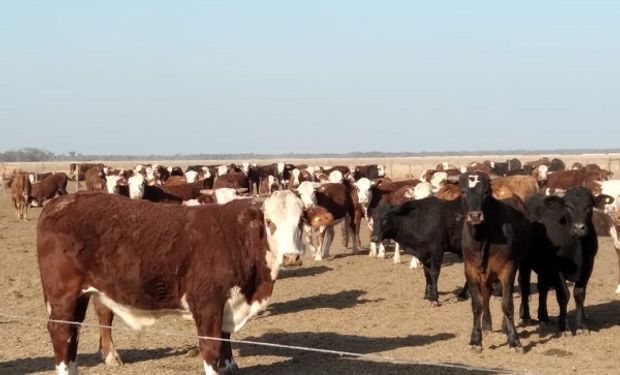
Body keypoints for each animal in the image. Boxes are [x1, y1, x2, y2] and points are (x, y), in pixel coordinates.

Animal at [36, 192, 312, 375]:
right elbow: (211, 347)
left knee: (73, 334)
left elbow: (225, 342)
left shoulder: (227, 304)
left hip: (80, 295)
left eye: (300, 221)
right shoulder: (207, 302)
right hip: (64, 293)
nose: (292, 256)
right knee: (62, 332)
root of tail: (59, 203)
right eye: (269, 222)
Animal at [458, 173, 532, 352]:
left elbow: (507, 305)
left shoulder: (508, 268)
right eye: (463, 191)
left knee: (516, 289)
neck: (482, 238)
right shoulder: (470, 270)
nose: (475, 215)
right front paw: (475, 340)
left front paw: (515, 341)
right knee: (486, 293)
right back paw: (486, 324)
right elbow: (477, 305)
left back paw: (509, 326)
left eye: (485, 192)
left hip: (522, 262)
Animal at [520, 188, 600, 334]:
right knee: (524, 286)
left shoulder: (588, 267)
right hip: (525, 263)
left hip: (543, 267)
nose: (579, 228)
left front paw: (581, 326)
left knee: (542, 289)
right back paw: (526, 317)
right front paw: (564, 327)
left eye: (589, 206)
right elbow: (564, 295)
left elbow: (579, 294)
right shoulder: (558, 269)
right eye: (568, 207)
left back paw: (544, 318)